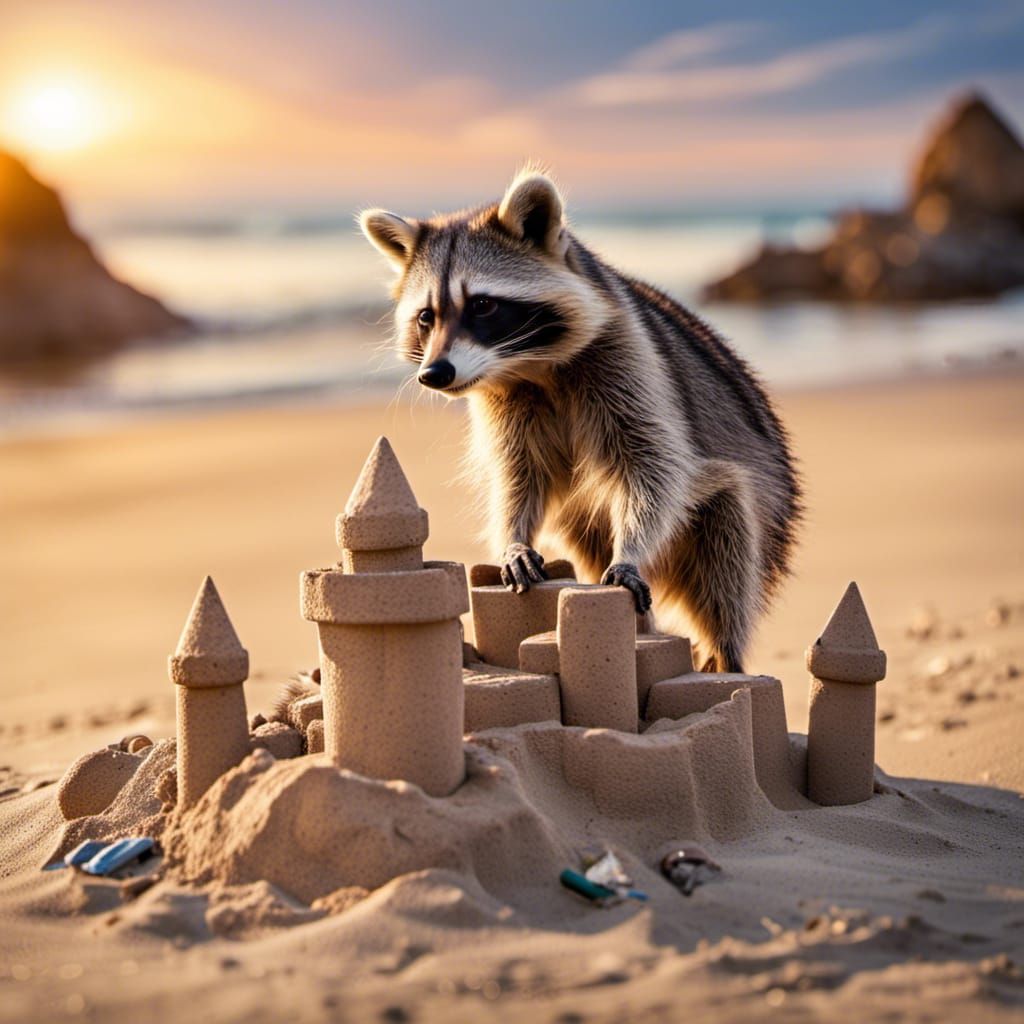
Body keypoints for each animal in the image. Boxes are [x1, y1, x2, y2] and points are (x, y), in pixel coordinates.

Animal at [360, 171, 800, 672]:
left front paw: (630, 550)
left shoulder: (628, 357)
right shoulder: (505, 404)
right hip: (587, 527)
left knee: (728, 549)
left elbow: (655, 466)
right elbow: (518, 474)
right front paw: (514, 535)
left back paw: (726, 651)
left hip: (765, 509)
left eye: (482, 305)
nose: (434, 374)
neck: (531, 368)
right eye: (426, 317)